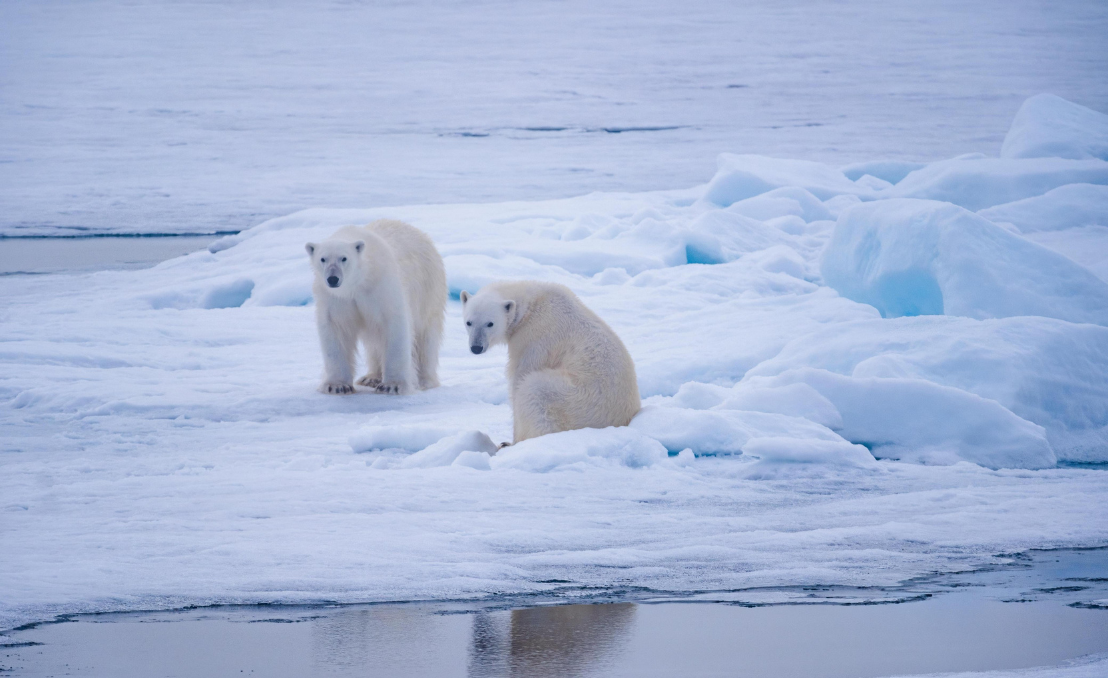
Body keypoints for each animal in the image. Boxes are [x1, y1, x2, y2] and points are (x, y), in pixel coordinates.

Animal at [305, 219, 446, 395]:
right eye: (323, 259)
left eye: (344, 258)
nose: (333, 278)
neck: (358, 282)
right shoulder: (336, 299)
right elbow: (336, 328)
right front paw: (337, 386)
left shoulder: (382, 286)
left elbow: (394, 324)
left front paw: (392, 385)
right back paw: (371, 378)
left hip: (428, 290)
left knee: (425, 336)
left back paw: (424, 381)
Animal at [460, 281, 640, 443]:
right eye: (468, 322)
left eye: (490, 323)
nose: (476, 347)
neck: (532, 303)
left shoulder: (534, 339)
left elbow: (519, 379)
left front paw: (512, 441)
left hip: (577, 399)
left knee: (534, 390)